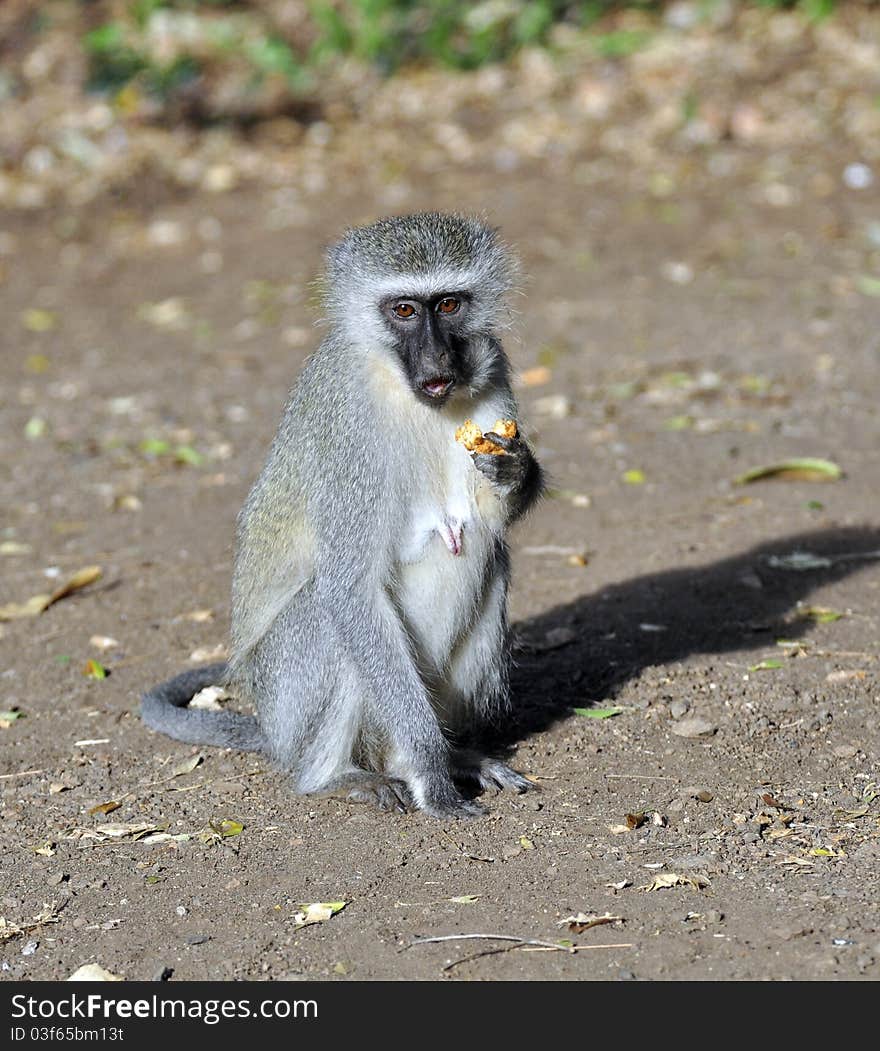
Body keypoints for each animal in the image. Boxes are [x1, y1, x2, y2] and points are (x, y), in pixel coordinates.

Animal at [141, 213, 542, 815]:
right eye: (404, 310)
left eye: (448, 304)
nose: (436, 360)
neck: (409, 394)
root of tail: (272, 731)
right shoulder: (348, 433)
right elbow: (351, 589)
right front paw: (431, 773)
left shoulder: (492, 367)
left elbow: (492, 519)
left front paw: (514, 470)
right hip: (288, 697)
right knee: (329, 617)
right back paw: (344, 775)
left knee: (487, 555)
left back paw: (455, 757)